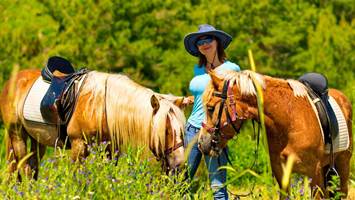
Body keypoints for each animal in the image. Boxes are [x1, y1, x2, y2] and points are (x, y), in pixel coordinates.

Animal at [0, 69, 188, 180]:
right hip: (17, 135)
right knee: (24, 168)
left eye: (181, 131)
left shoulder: (111, 148)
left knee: (32, 168)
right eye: (166, 130)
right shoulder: (79, 146)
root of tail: (13, 80)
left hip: (37, 140)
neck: (102, 106)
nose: (179, 165)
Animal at [200, 69, 354, 198]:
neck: (289, 120)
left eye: (210, 108)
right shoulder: (281, 172)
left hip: (342, 163)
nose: (202, 144)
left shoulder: (314, 171)